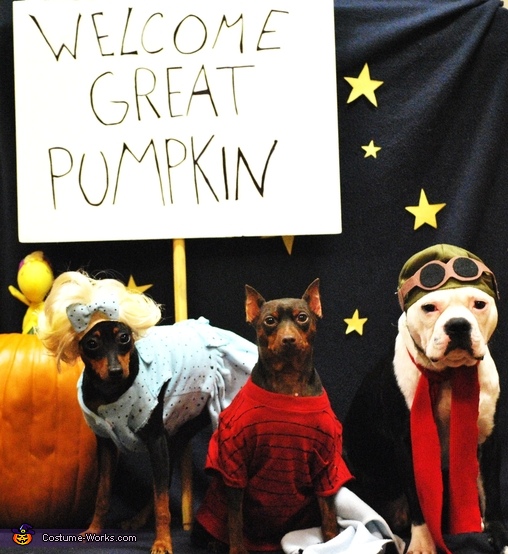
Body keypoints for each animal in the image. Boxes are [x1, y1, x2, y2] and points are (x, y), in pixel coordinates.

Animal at [191, 278, 354, 552]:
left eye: (302, 318)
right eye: (269, 321)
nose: (288, 339)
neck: (288, 382)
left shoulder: (326, 464)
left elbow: (329, 515)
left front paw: (333, 542)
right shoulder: (234, 464)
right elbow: (235, 521)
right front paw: (237, 549)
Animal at [344, 245, 508, 552]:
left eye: (479, 304)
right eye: (429, 307)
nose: (458, 325)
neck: (450, 376)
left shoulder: (488, 437)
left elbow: (490, 490)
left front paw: (495, 531)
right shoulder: (409, 444)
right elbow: (418, 498)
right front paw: (422, 543)